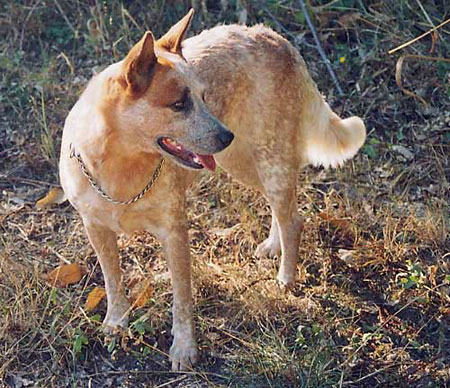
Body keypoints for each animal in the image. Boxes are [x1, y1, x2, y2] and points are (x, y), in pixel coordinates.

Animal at [58, 9, 366, 370]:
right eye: (179, 104)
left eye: (204, 97)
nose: (225, 135)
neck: (120, 165)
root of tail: (274, 38)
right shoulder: (96, 228)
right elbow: (112, 280)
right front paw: (116, 323)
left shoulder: (174, 231)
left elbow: (182, 298)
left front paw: (184, 348)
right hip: (243, 162)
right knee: (282, 209)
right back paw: (272, 246)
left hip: (268, 156)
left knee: (293, 219)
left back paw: (285, 280)